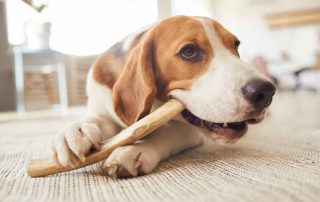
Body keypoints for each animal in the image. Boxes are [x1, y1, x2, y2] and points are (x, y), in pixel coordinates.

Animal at [52, 15, 276, 178]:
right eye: (189, 51)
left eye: (236, 46)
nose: (265, 91)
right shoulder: (102, 109)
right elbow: (95, 120)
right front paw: (75, 131)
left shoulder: (188, 129)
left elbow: (165, 131)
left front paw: (135, 148)